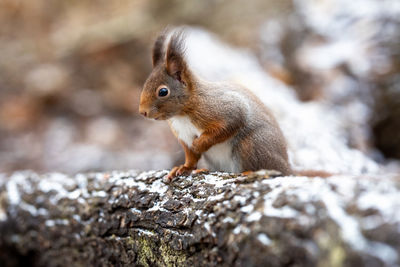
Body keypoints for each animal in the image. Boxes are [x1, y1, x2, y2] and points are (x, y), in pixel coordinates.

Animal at [139, 28, 320, 181]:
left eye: (163, 91)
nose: (142, 112)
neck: (182, 115)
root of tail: (288, 167)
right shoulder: (183, 136)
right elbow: (191, 157)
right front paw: (182, 168)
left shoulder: (225, 109)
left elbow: (228, 125)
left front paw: (200, 143)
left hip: (251, 144)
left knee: (270, 169)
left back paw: (249, 173)